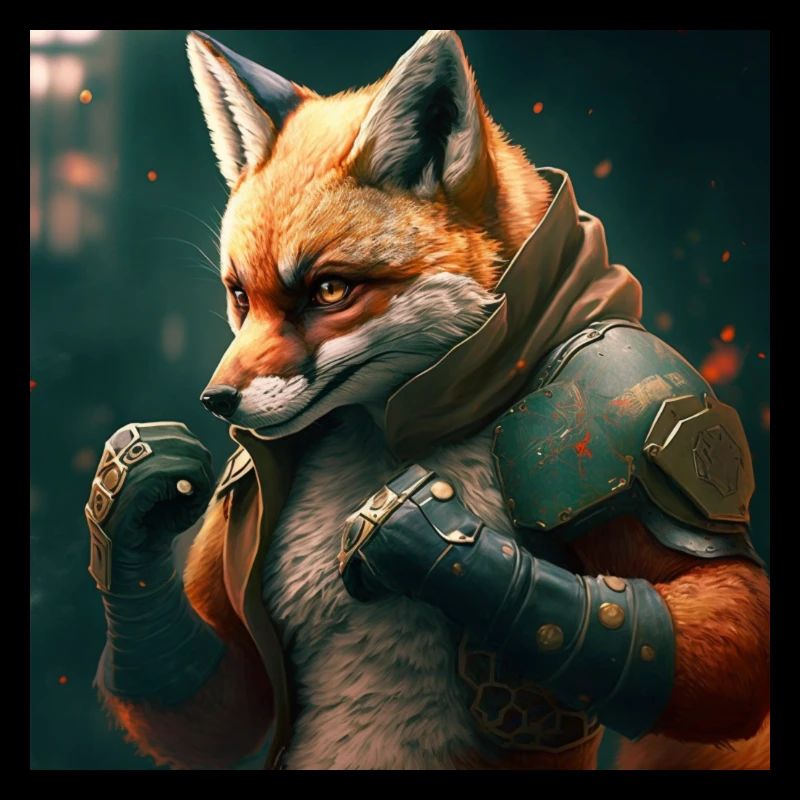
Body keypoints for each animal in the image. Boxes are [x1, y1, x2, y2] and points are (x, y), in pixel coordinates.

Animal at [88, 30, 769, 770]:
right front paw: (134, 497)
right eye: (240, 295)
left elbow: (700, 621)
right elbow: (225, 706)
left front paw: (428, 540)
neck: (399, 429)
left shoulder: (618, 381)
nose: (216, 402)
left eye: (330, 291)